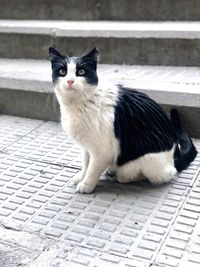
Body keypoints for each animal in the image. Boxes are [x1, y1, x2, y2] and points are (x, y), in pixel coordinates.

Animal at [48, 47, 197, 195]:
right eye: (62, 72)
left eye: (81, 72)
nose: (70, 81)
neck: (79, 103)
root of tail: (175, 157)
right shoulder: (87, 146)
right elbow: (86, 163)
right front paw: (81, 176)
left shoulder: (102, 152)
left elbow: (92, 169)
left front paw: (86, 184)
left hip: (148, 160)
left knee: (160, 175)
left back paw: (124, 175)